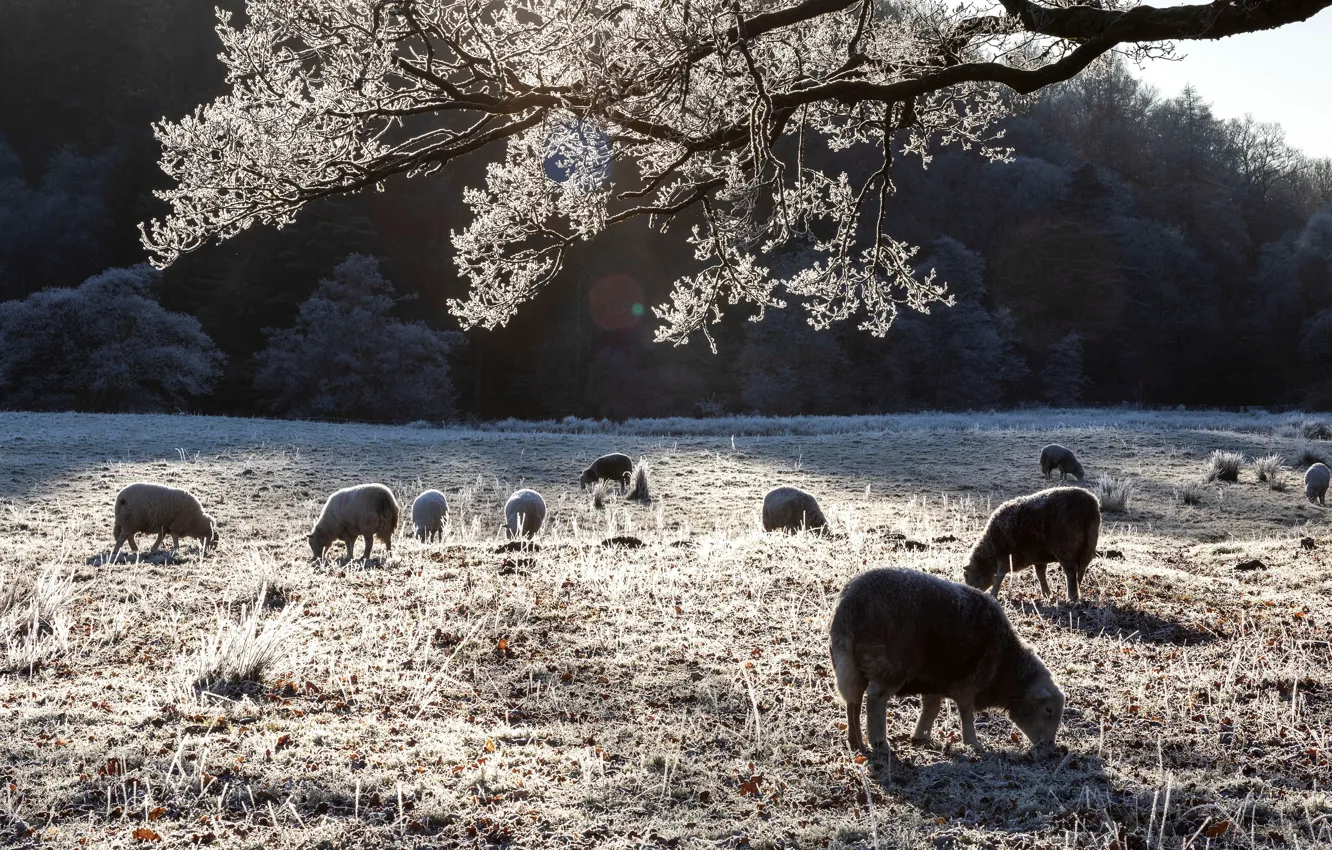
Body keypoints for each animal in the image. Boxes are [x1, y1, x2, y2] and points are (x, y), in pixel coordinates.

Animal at [825, 570, 1065, 756]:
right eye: (1048, 710)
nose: (1049, 746)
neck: (1006, 665)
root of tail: (850, 606)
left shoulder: (934, 683)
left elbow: (932, 709)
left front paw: (921, 736)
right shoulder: (968, 687)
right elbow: (966, 714)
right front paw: (974, 744)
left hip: (849, 665)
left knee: (853, 702)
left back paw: (855, 742)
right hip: (889, 667)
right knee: (875, 700)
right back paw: (879, 743)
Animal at [964, 484, 1097, 607]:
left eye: (966, 575)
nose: (971, 594)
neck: (990, 548)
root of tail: (1090, 506)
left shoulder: (1005, 556)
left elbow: (1000, 576)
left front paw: (993, 595)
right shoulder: (1039, 558)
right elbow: (1040, 574)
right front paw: (1047, 595)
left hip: (1066, 548)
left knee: (1070, 572)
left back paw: (1071, 597)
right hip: (1088, 546)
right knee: (1080, 571)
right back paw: (1077, 594)